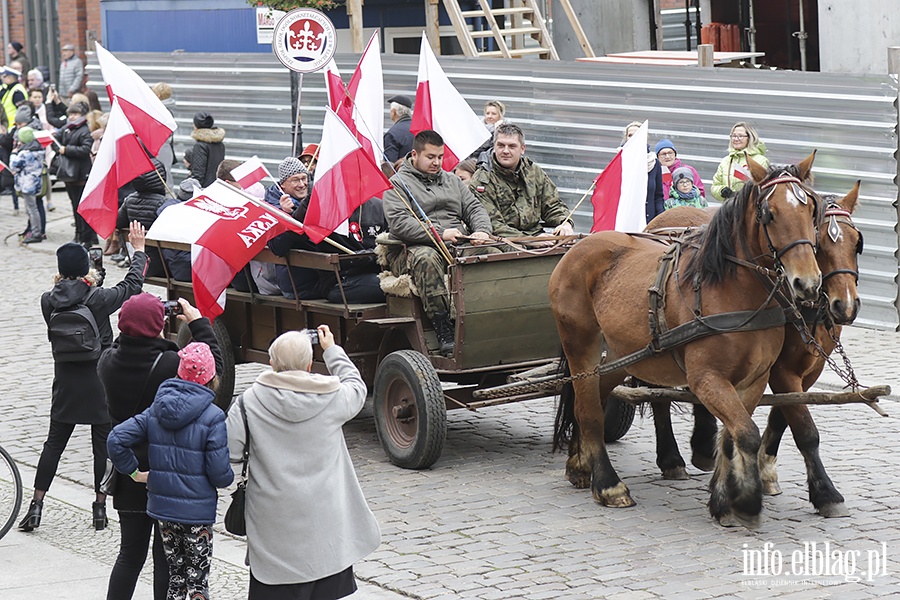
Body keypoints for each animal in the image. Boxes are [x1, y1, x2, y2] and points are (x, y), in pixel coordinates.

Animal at [548, 155, 824, 524]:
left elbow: (732, 436)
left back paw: (579, 464)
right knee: (588, 407)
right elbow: (747, 434)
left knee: (595, 395)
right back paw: (608, 484)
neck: (734, 290)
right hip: (581, 344)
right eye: (769, 214)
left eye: (811, 210)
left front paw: (723, 499)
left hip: (626, 353)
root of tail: (579, 245)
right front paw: (746, 500)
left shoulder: (753, 381)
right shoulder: (707, 379)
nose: (807, 283)